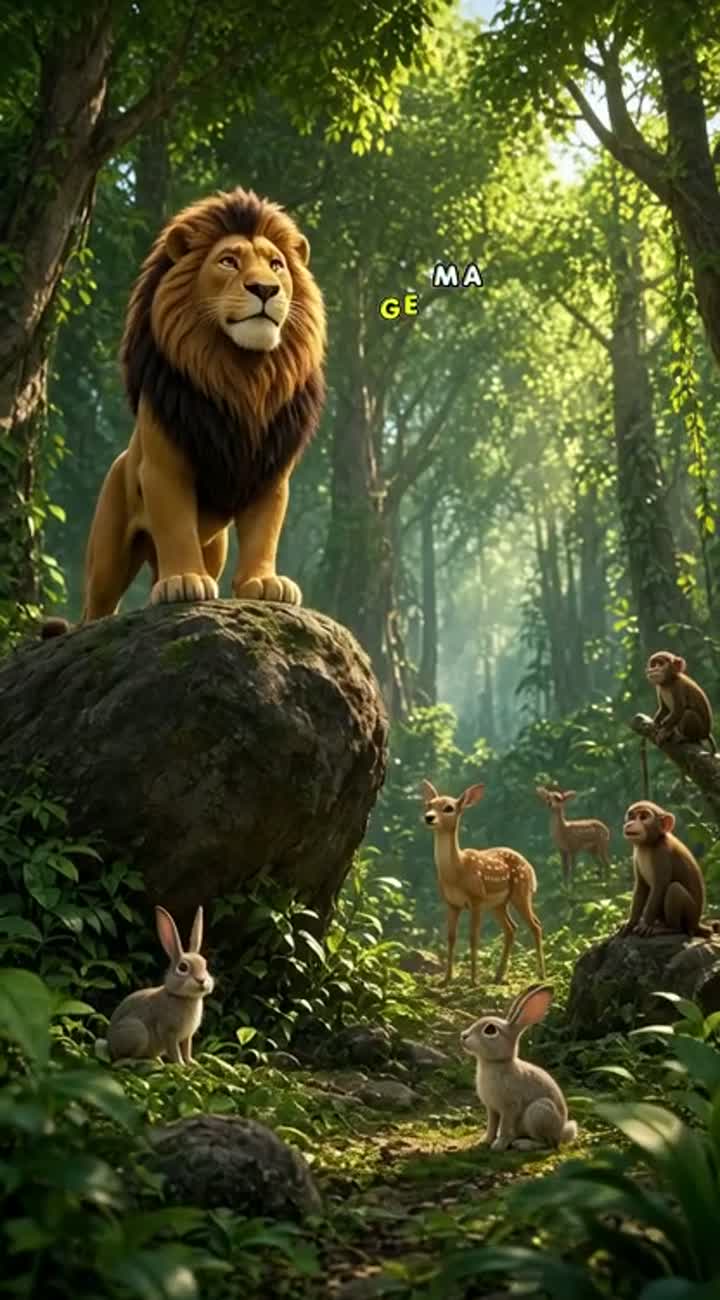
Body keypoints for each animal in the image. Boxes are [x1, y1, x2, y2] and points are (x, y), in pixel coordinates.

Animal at [42, 186, 326, 638]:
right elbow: (175, 521)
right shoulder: (164, 464)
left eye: (276, 265)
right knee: (98, 603)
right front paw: (184, 583)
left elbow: (264, 530)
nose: (266, 290)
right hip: (108, 548)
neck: (243, 375)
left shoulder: (271, 473)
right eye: (228, 261)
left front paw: (263, 584)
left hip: (214, 544)